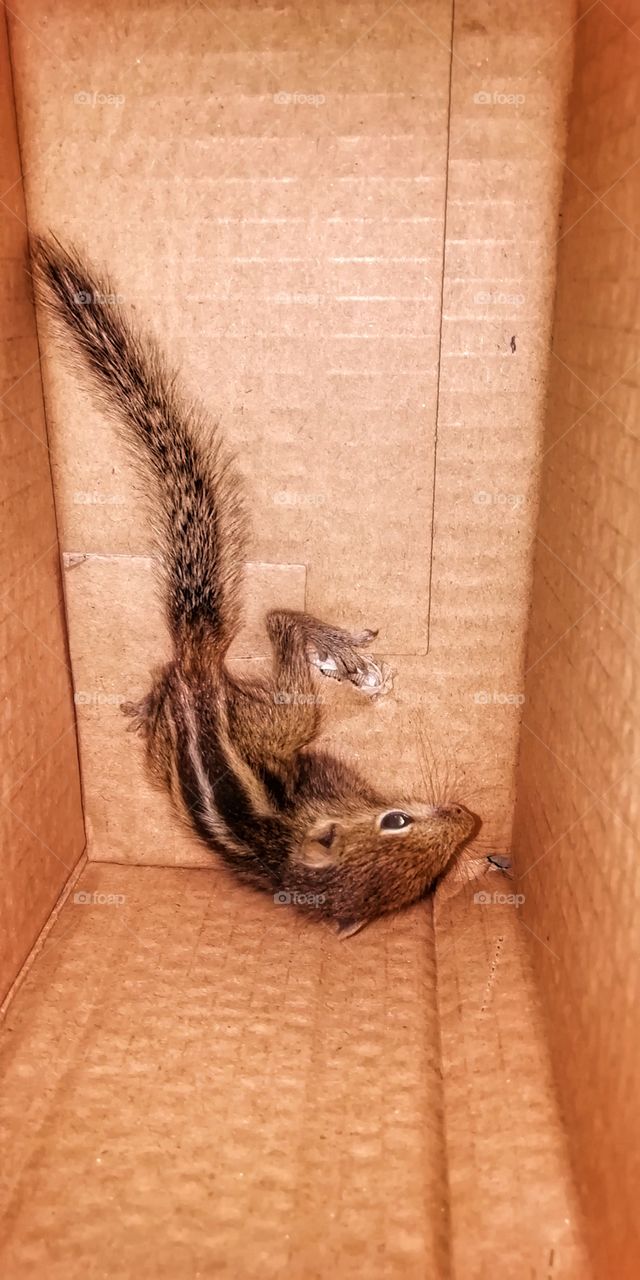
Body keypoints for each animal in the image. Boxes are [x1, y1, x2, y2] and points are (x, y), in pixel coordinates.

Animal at [33, 235, 478, 937]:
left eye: (431, 883)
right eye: (396, 820)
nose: (470, 816)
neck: (291, 853)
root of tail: (196, 671)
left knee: (171, 670)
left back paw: (144, 705)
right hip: (284, 717)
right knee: (278, 624)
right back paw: (335, 644)